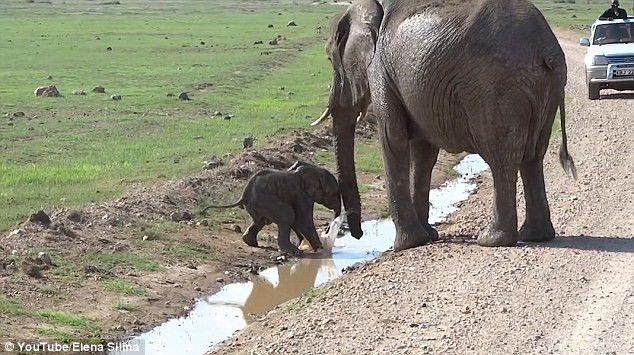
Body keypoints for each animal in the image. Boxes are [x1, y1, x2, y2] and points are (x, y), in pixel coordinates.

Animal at [201, 161, 340, 256]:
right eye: (333, 193)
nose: (328, 229)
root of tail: (244, 196)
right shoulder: (302, 195)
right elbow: (302, 220)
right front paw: (321, 251)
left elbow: (298, 220)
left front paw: (304, 243)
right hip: (266, 200)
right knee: (286, 215)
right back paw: (292, 251)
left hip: (259, 204)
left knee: (261, 221)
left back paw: (250, 242)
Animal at [310, 0, 572, 252]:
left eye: (330, 60)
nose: (357, 234)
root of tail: (545, 49)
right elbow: (423, 154)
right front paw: (427, 237)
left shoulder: (380, 69)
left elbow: (393, 140)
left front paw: (406, 245)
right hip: (544, 88)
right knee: (533, 158)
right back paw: (535, 236)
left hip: (498, 89)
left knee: (502, 159)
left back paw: (492, 240)